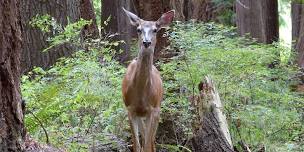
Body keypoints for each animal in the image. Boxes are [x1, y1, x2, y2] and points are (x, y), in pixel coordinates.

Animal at [120, 7, 173, 152]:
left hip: (158, 108)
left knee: (152, 142)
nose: (146, 42)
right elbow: (137, 145)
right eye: (138, 29)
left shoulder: (153, 110)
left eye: (155, 29)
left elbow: (148, 145)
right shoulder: (130, 109)